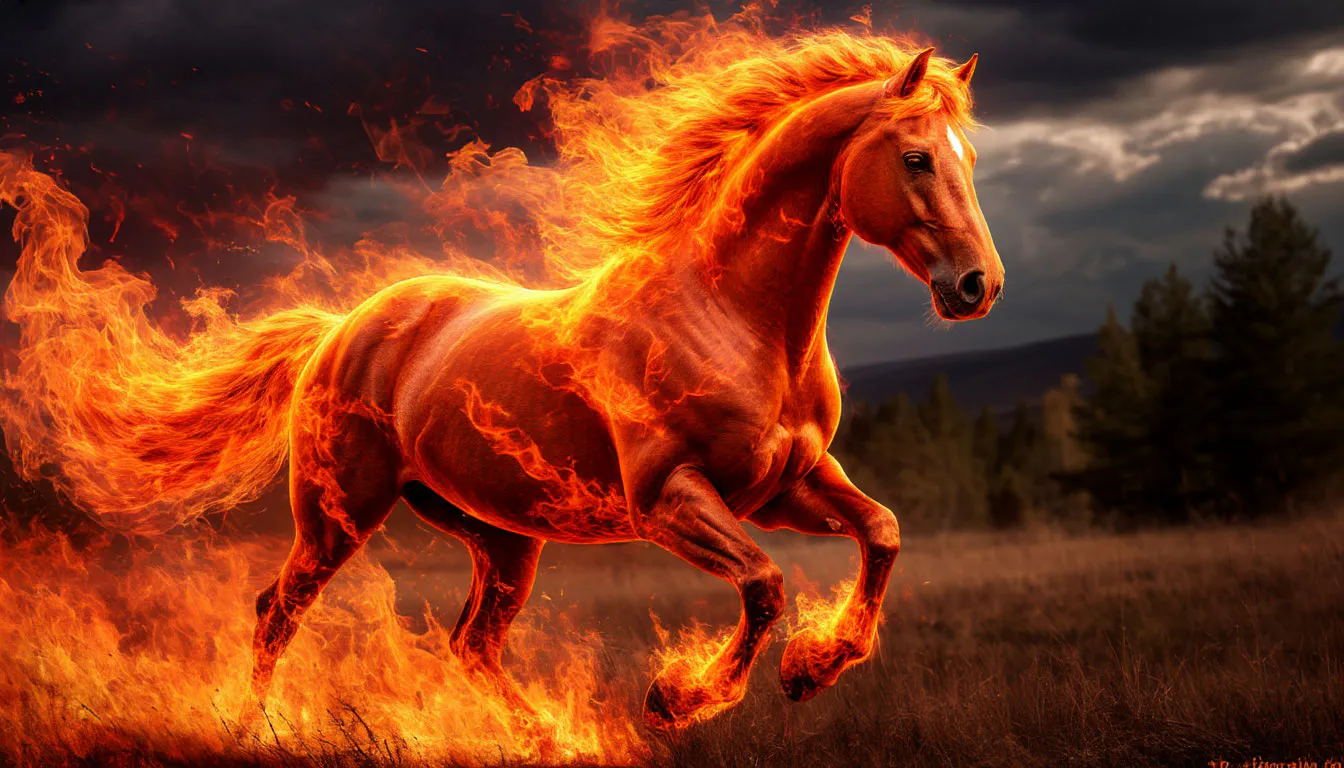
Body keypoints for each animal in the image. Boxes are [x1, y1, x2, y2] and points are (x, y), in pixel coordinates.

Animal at [0, 37, 1002, 731]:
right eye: (917, 157)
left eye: (968, 157)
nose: (977, 287)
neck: (738, 317)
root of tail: (341, 330)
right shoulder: (670, 499)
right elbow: (763, 583)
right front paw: (679, 699)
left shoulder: (788, 484)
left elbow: (882, 533)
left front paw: (812, 668)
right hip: (338, 515)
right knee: (276, 612)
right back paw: (254, 727)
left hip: (501, 537)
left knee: (471, 647)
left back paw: (544, 737)